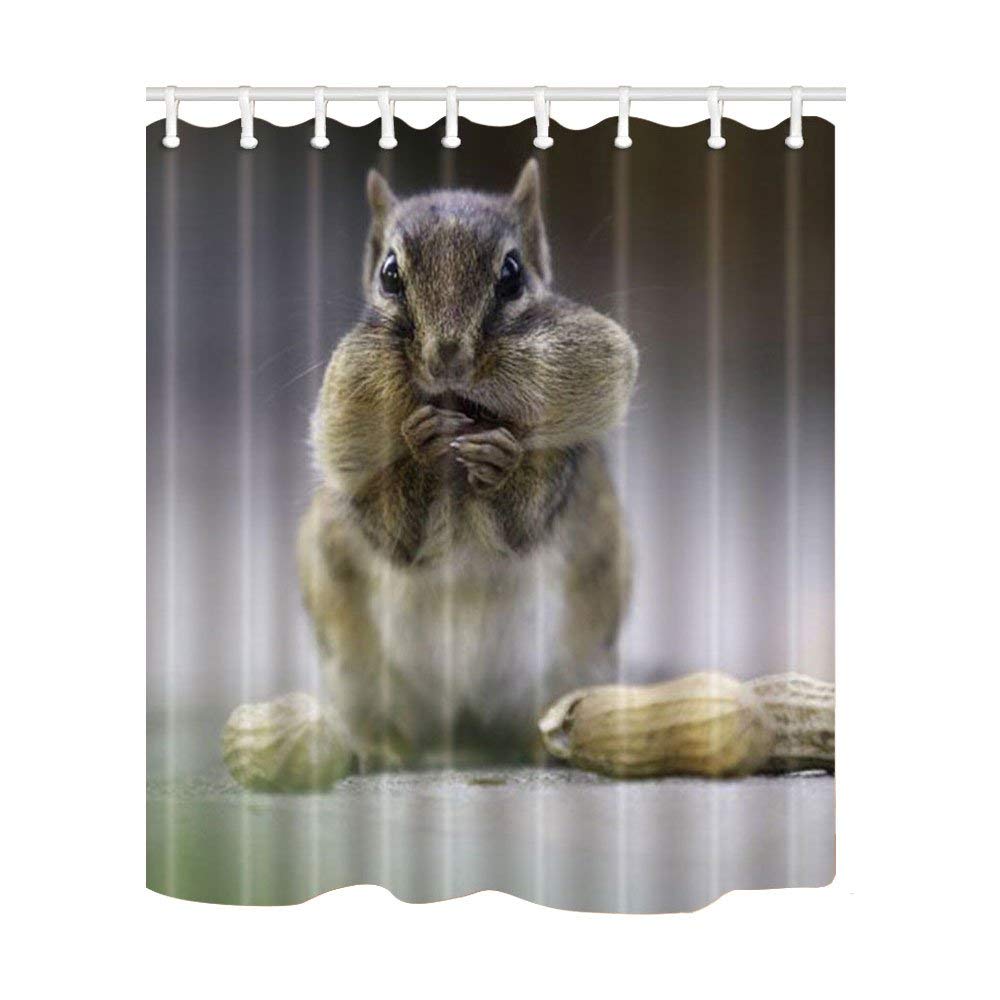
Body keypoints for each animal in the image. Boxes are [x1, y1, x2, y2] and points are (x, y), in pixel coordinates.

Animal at [298, 160, 639, 767]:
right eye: (389, 273)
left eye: (512, 274)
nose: (448, 359)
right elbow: (397, 535)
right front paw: (421, 445)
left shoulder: (567, 467)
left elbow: (523, 521)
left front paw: (501, 462)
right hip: (357, 672)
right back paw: (379, 748)